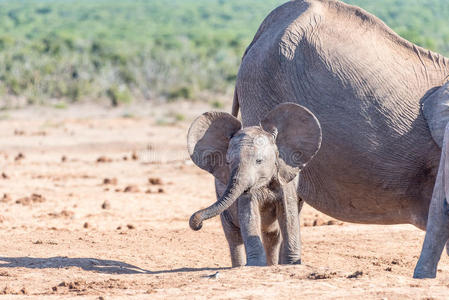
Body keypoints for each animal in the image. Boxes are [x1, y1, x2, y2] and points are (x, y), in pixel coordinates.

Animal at [187, 103, 320, 268]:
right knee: (234, 237)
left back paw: (272, 265)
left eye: (259, 161)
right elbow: (249, 214)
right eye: (228, 162)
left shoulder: (284, 176)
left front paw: (291, 264)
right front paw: (256, 265)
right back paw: (240, 266)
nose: (197, 224)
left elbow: (288, 216)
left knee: (273, 234)